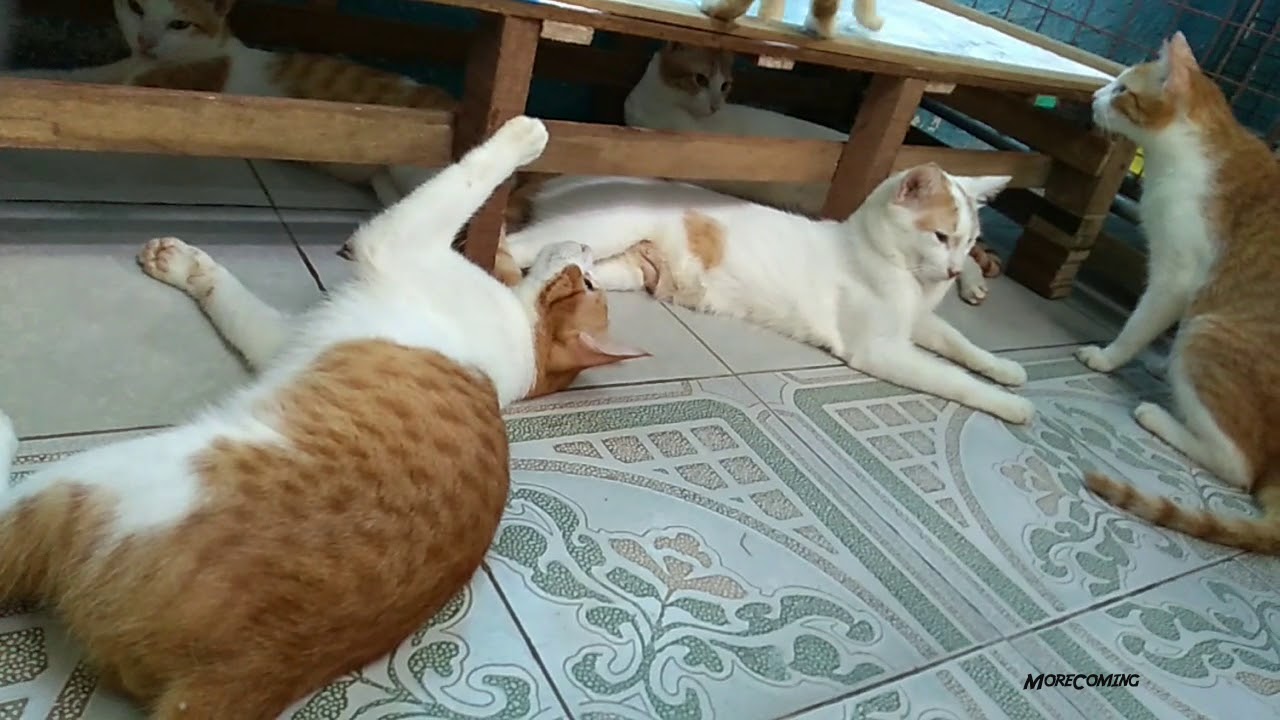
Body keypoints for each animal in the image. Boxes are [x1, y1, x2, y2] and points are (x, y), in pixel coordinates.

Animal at [0, 117, 648, 719]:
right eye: (590, 278)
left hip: (95, 474)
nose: (584, 249)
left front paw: (526, 134)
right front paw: (185, 265)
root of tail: (246, 672)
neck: (516, 356)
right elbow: (230, 299)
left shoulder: (394, 242)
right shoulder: (281, 339)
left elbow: (466, 177)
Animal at [10, 0, 454, 205]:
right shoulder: (123, 70)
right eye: (137, 8)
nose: (146, 41)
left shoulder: (158, 86)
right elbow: (79, 78)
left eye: (179, 23)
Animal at [504, 167, 1037, 425]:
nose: (954, 270)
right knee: (514, 247)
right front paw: (1011, 406)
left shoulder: (918, 322)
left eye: (970, 242)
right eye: (941, 236)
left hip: (621, 268)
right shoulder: (881, 349)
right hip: (598, 230)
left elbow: (959, 344)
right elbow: (953, 379)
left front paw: (1005, 369)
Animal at [624, 42, 1003, 305]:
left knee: (965, 251)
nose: (716, 105)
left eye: (725, 85)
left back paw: (972, 282)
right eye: (700, 79)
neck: (659, 103)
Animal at [1077, 33, 1280, 554]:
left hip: (1207, 332)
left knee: (1239, 468)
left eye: (1122, 89)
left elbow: (1140, 322)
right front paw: (1148, 357)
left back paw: (1158, 416)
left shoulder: (1177, 275)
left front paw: (1107, 357)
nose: (1094, 96)